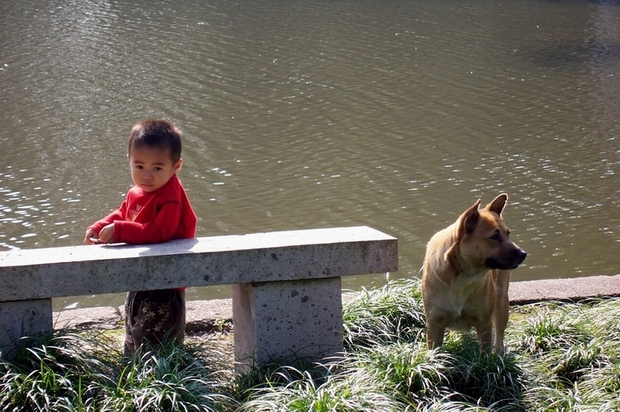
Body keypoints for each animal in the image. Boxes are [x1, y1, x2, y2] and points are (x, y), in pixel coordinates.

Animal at [422, 194, 524, 354]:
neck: (461, 277)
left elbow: (484, 353)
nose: (523, 254)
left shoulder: (484, 323)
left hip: (501, 301)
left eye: (508, 234)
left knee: (499, 334)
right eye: (494, 237)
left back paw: (499, 353)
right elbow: (434, 353)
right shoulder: (434, 325)